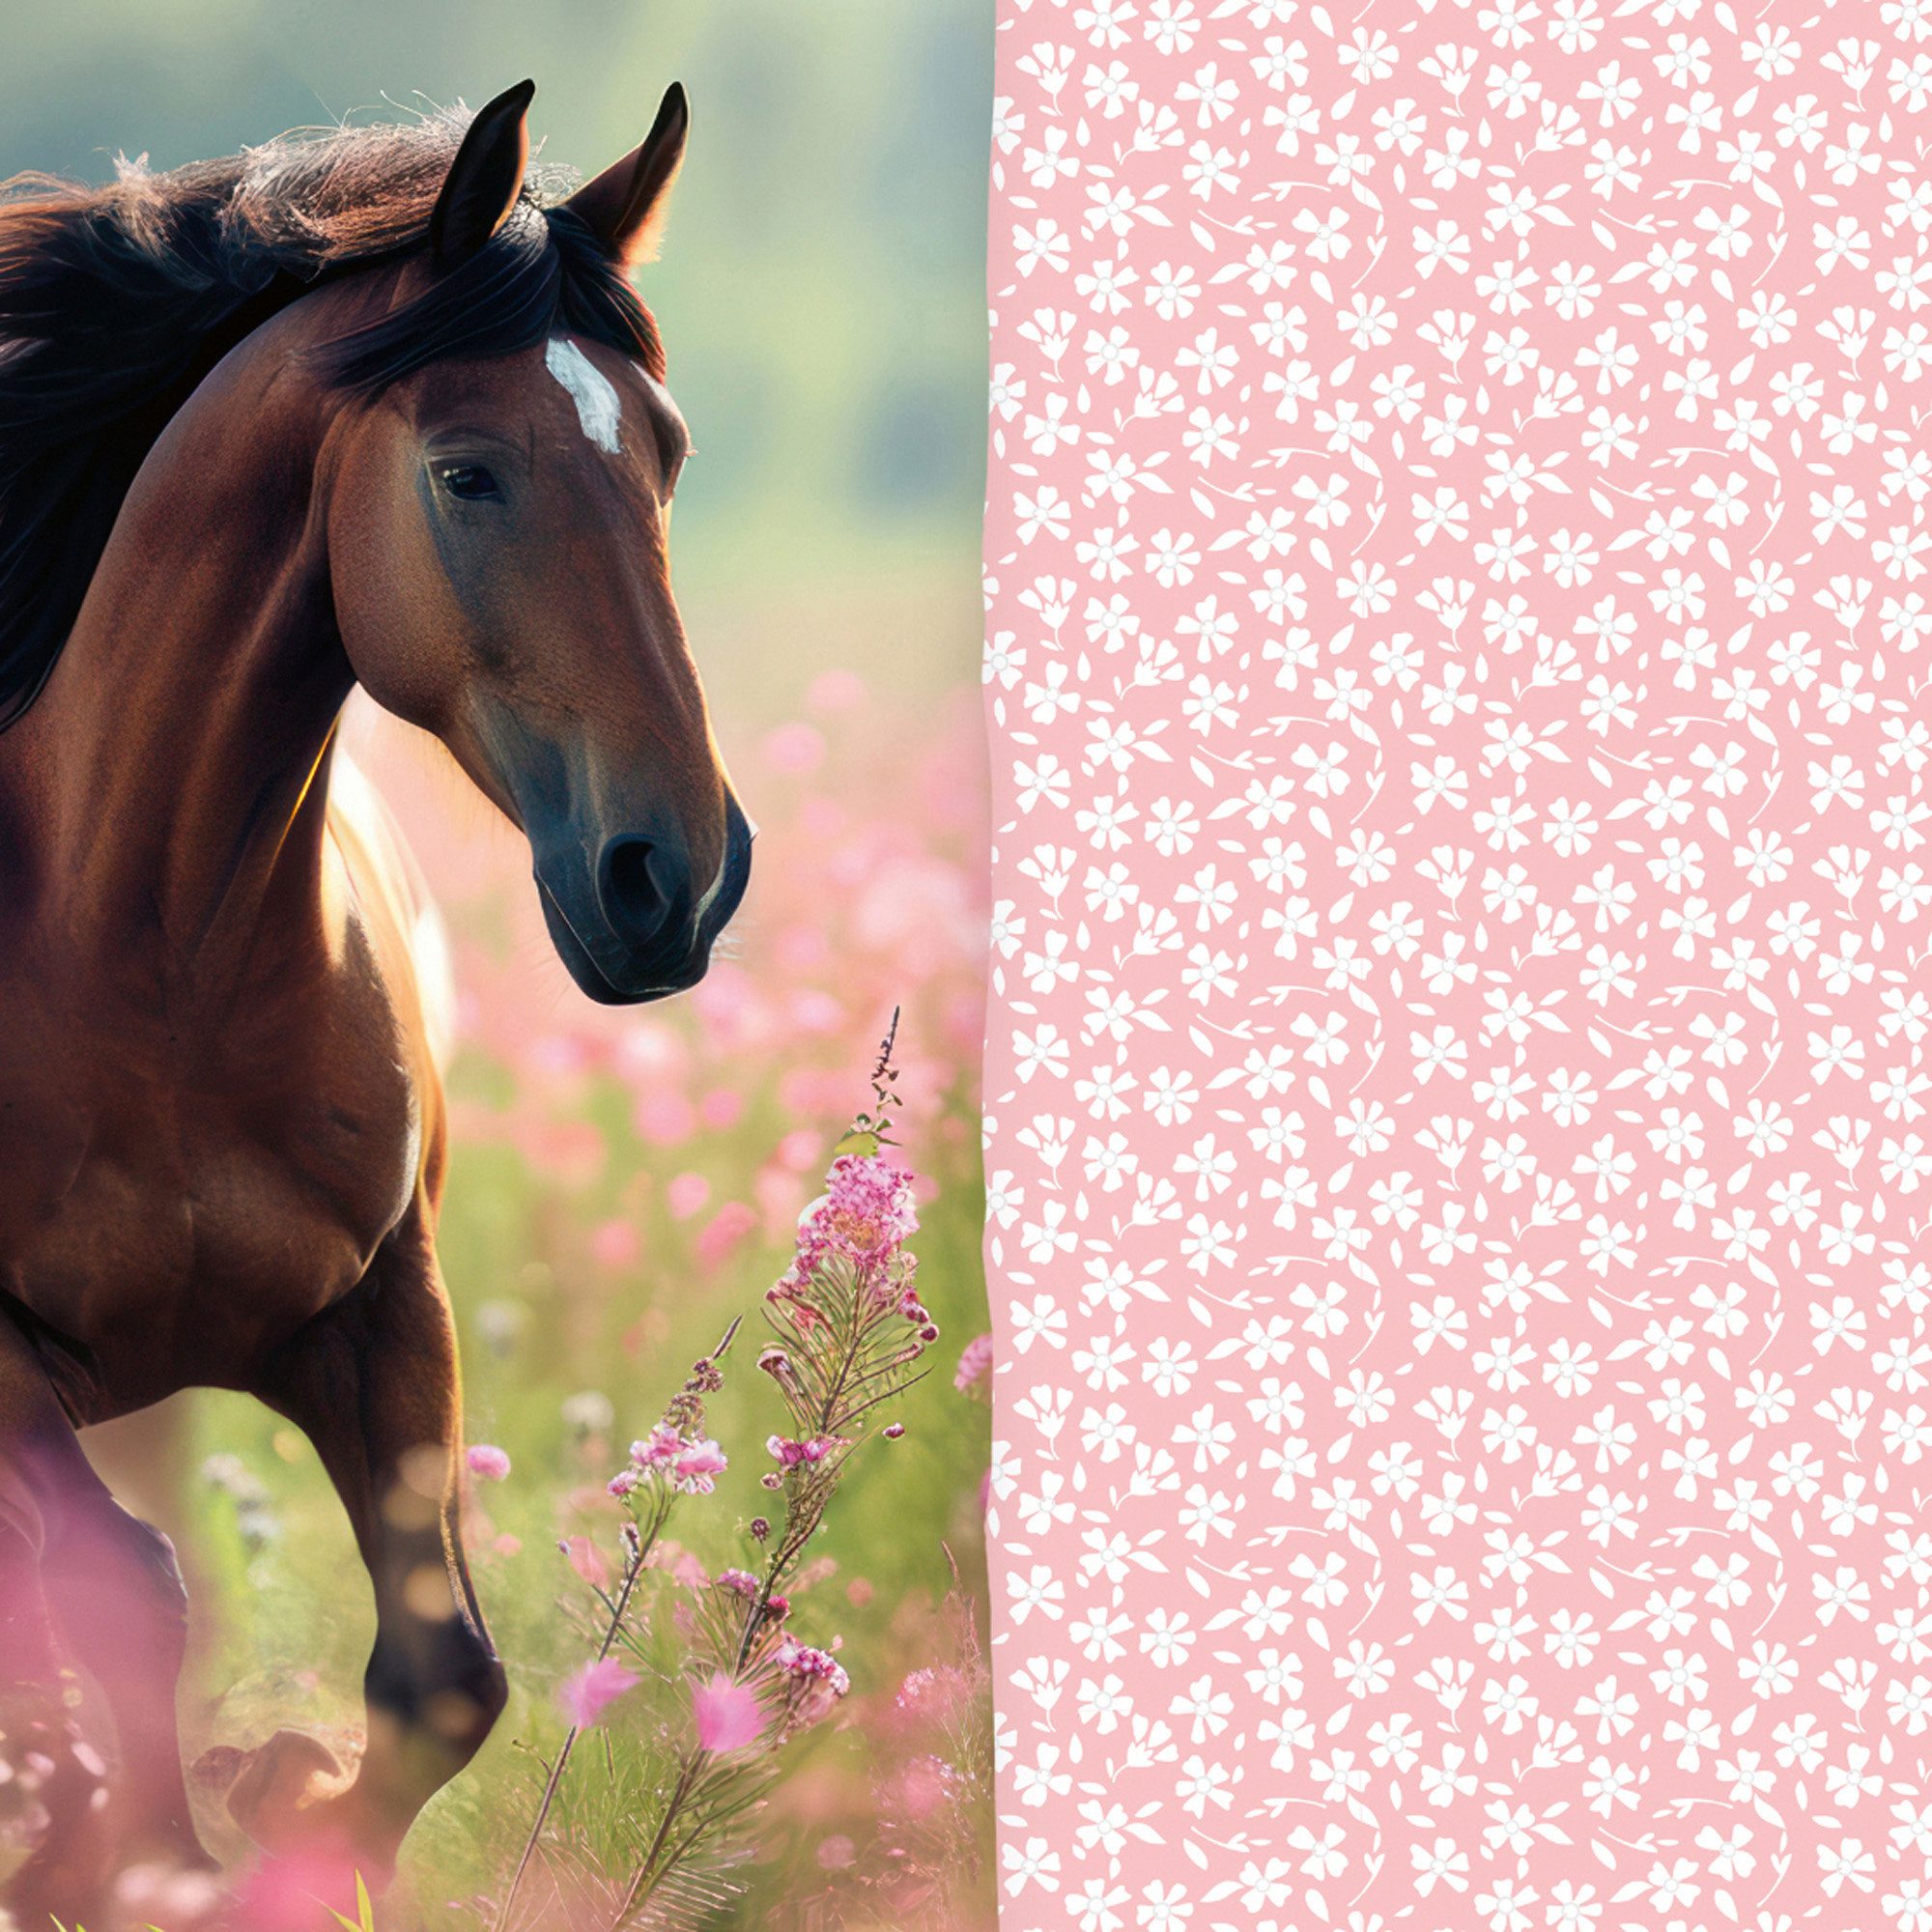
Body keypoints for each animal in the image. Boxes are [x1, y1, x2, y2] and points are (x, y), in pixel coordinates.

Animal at [0, 78, 751, 1916]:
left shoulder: (378, 1312)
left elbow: (445, 1677)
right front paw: (146, 1849)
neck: (145, 959)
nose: (676, 877)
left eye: (666, 453)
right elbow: (132, 1601)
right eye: (466, 473)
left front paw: (282, 1812)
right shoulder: (2, 1362)